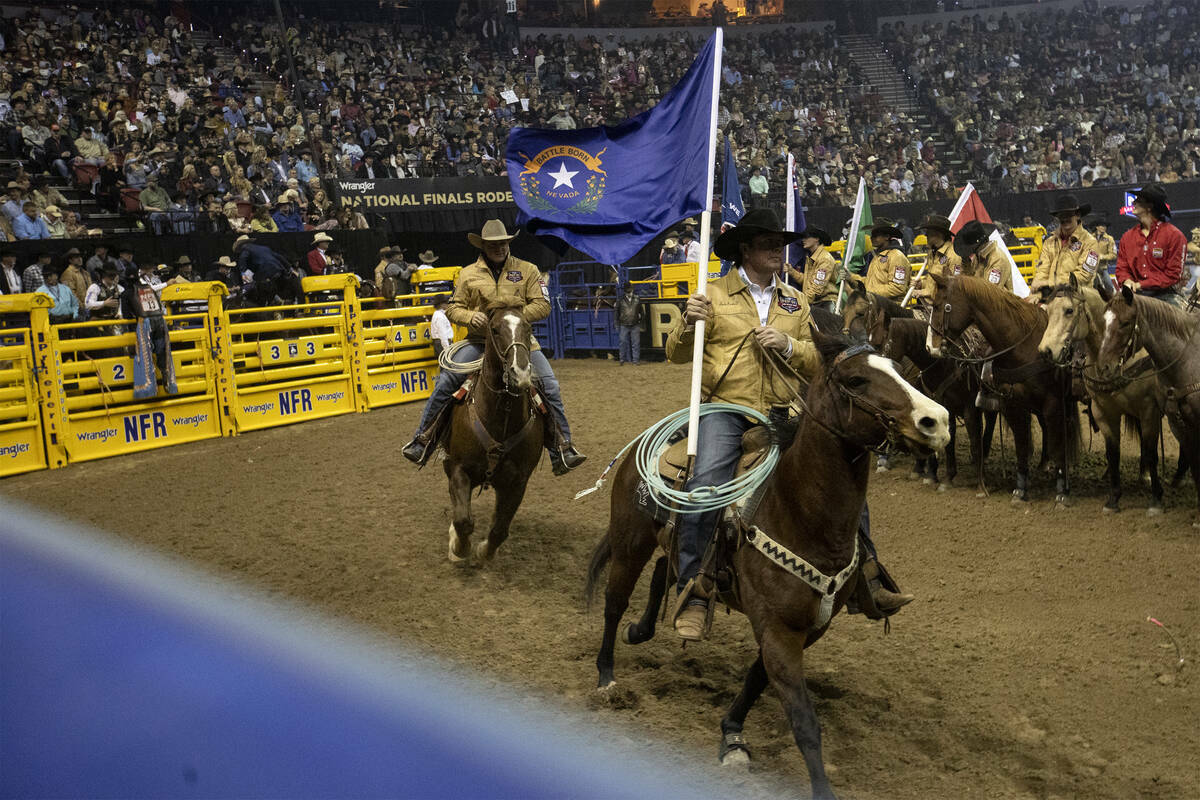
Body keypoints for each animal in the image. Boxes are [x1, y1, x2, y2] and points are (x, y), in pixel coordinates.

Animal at [441, 297, 544, 566]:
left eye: (528, 327)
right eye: (495, 329)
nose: (520, 373)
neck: (501, 414)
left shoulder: (518, 481)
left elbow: (500, 528)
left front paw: (484, 551)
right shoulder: (459, 468)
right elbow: (463, 521)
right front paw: (459, 548)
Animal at [585, 331, 950, 800]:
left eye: (899, 369)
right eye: (856, 380)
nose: (937, 420)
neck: (796, 510)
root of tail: (644, 444)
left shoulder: (806, 627)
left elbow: (758, 677)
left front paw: (732, 734)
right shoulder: (776, 626)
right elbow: (803, 718)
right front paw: (820, 788)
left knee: (669, 571)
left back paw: (645, 627)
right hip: (629, 540)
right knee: (615, 602)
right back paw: (606, 678)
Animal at [921, 272, 1084, 503]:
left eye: (938, 306)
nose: (930, 347)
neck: (1023, 347)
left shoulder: (1054, 403)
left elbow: (1058, 444)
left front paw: (1062, 491)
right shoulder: (1014, 405)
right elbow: (1021, 445)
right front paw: (1020, 489)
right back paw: (1043, 463)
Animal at [1036, 275, 1166, 513]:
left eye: (1069, 310)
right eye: (1047, 310)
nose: (1045, 351)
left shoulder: (1148, 409)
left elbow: (1151, 451)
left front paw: (1156, 498)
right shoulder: (1103, 411)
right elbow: (1112, 452)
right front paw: (1113, 498)